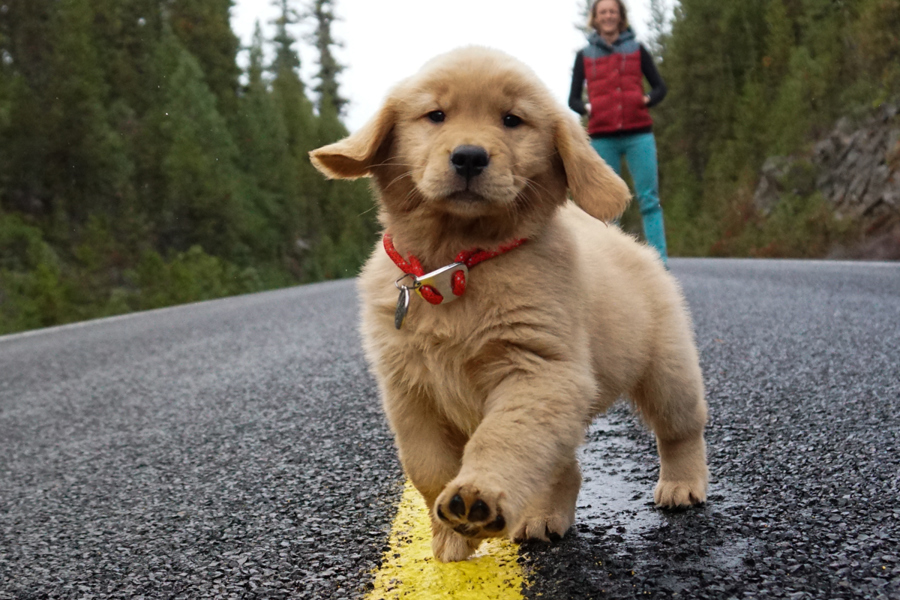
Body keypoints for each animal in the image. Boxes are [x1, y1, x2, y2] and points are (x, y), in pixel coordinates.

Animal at [310, 47, 708, 563]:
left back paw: (682, 484)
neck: (455, 265)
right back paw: (543, 516)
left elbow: (503, 439)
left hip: (668, 368)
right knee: (563, 467)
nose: (469, 157)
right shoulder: (409, 391)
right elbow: (428, 467)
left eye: (512, 120)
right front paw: (451, 538)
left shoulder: (539, 370)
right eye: (435, 115)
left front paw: (476, 497)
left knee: (681, 428)